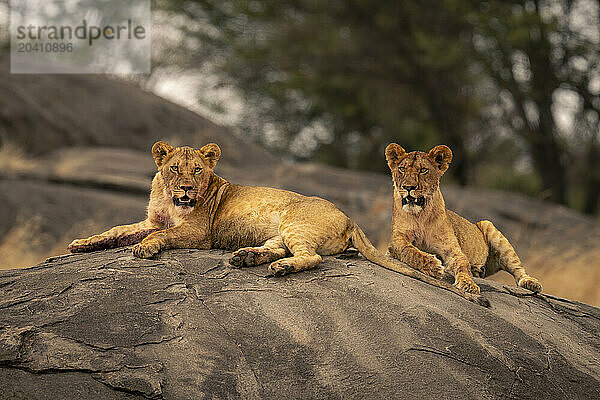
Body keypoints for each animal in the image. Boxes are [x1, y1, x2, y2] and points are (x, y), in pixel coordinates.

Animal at [68, 142, 490, 304]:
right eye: (175, 169)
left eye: (198, 170)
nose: (187, 188)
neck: (170, 200)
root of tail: (350, 217)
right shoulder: (148, 218)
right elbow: (117, 230)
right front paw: (82, 243)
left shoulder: (197, 232)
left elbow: (166, 234)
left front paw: (146, 247)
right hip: (278, 233)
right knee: (277, 250)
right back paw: (246, 258)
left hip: (293, 223)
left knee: (311, 258)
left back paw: (279, 268)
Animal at [384, 142, 544, 296]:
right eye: (402, 169)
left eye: (423, 170)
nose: (408, 187)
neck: (420, 216)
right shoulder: (395, 242)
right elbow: (409, 251)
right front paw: (433, 265)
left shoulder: (452, 249)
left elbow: (462, 264)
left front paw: (468, 284)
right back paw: (477, 271)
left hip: (489, 226)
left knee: (518, 269)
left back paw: (530, 282)